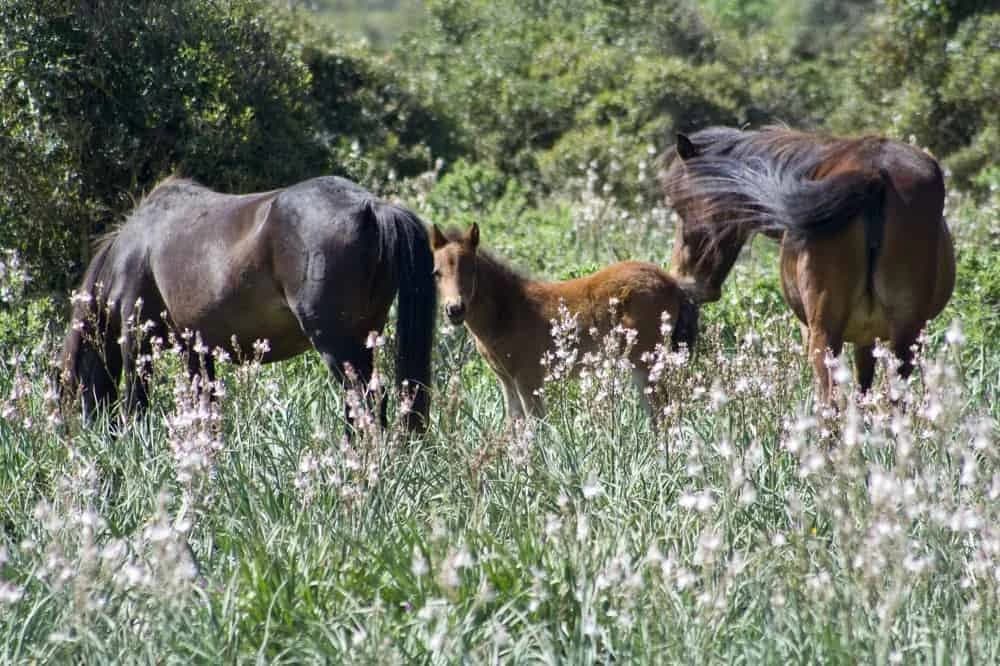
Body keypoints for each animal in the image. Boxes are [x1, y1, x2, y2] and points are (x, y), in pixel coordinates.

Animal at [60, 174, 436, 430]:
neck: (130, 251)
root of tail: (371, 206)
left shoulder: (136, 340)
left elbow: (136, 401)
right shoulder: (196, 350)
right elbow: (204, 404)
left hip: (337, 344)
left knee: (364, 401)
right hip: (365, 339)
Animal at [428, 223, 696, 420]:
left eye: (471, 269)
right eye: (436, 273)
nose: (455, 309)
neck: (508, 311)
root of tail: (672, 283)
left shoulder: (529, 379)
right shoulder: (507, 382)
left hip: (646, 361)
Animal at [660, 127, 956, 402]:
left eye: (680, 207)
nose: (683, 279)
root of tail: (875, 174)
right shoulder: (866, 339)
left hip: (825, 336)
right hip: (904, 336)